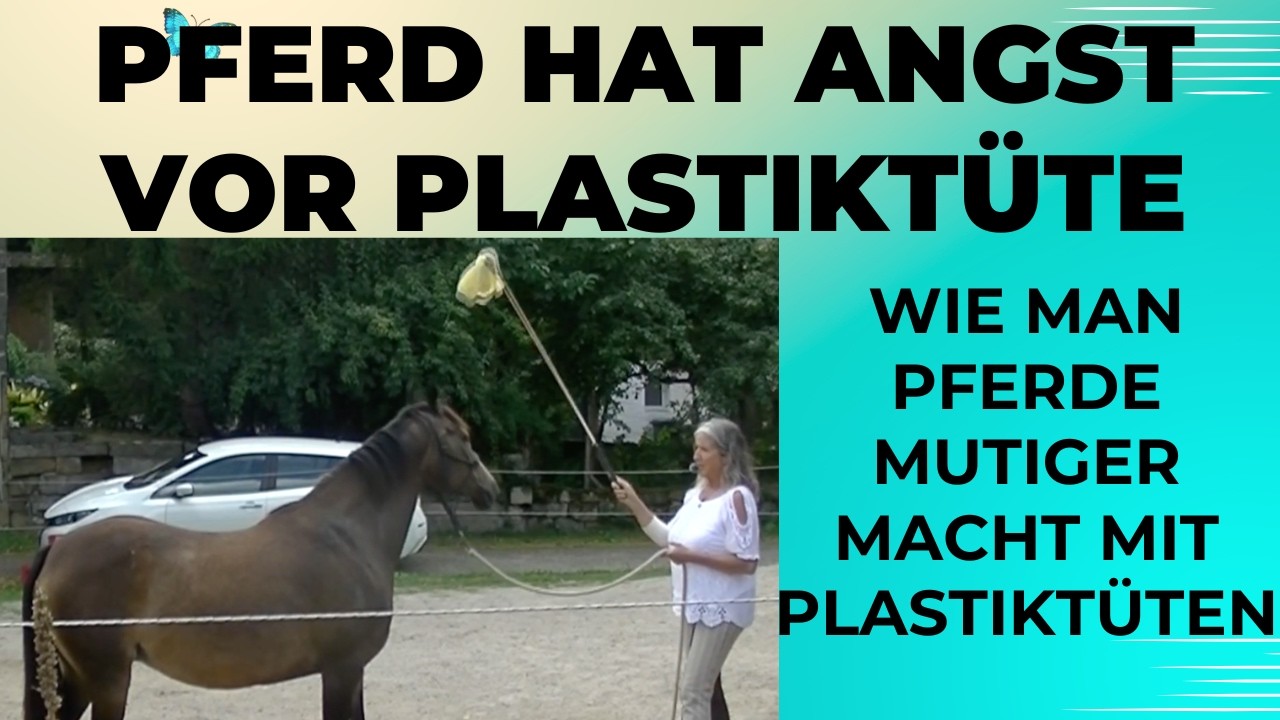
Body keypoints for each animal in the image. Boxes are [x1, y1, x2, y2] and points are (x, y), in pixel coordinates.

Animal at [22, 401, 501, 720]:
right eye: (462, 438)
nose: (490, 488)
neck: (348, 533)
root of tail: (60, 548)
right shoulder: (342, 671)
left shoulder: (350, 673)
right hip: (106, 680)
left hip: (78, 679)